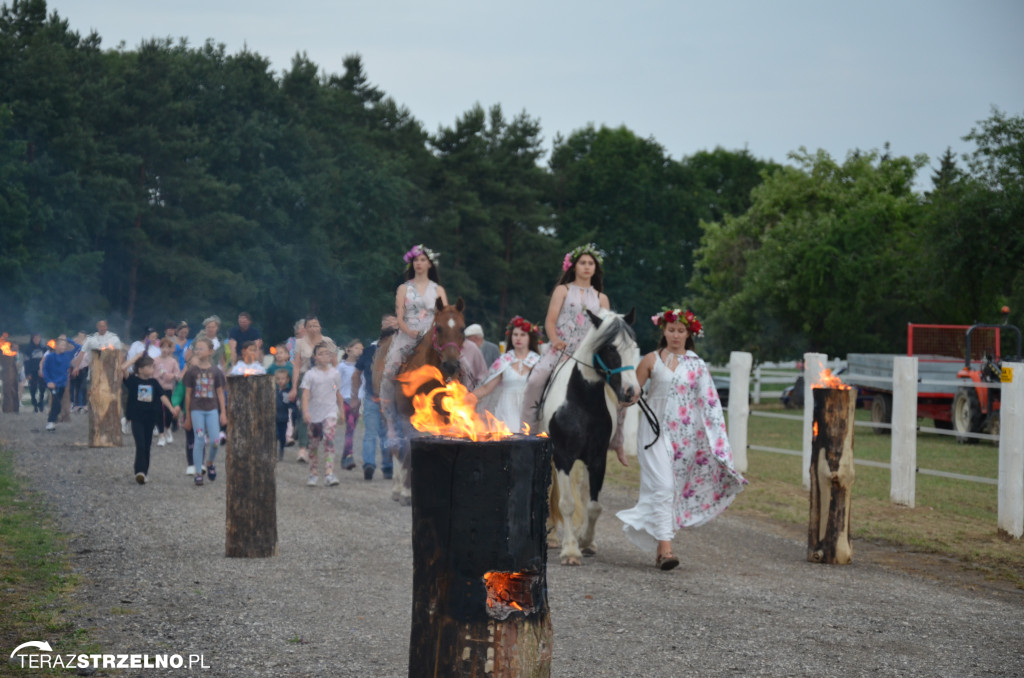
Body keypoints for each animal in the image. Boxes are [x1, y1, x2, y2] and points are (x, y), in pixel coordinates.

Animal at [378, 297, 466, 503]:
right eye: (439, 328)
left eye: (462, 329)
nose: (451, 365)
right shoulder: (407, 415)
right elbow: (408, 449)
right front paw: (406, 491)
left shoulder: (445, 416)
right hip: (389, 414)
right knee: (396, 445)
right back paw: (397, 487)